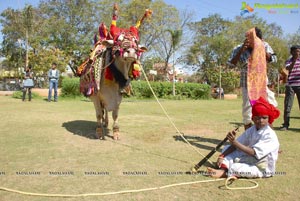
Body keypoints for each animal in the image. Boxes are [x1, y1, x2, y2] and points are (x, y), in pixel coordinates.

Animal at [77, 4, 152, 140]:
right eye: (118, 41)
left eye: (136, 42)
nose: (131, 52)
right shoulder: (96, 96)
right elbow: (98, 115)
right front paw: (99, 132)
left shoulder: (118, 97)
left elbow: (115, 115)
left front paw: (116, 132)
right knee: (101, 112)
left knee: (106, 111)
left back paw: (106, 123)